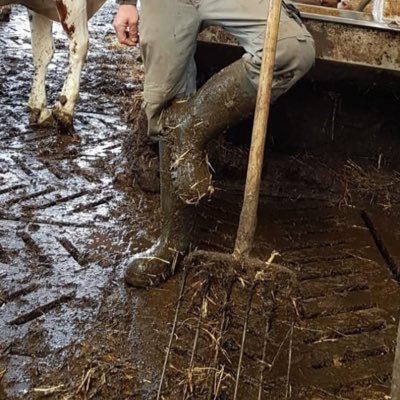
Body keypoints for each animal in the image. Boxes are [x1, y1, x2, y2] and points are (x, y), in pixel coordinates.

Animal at [0, 0, 106, 134]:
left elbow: (42, 50)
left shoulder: (37, 7)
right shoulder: (73, 3)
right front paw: (65, 110)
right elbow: (81, 44)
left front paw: (39, 109)